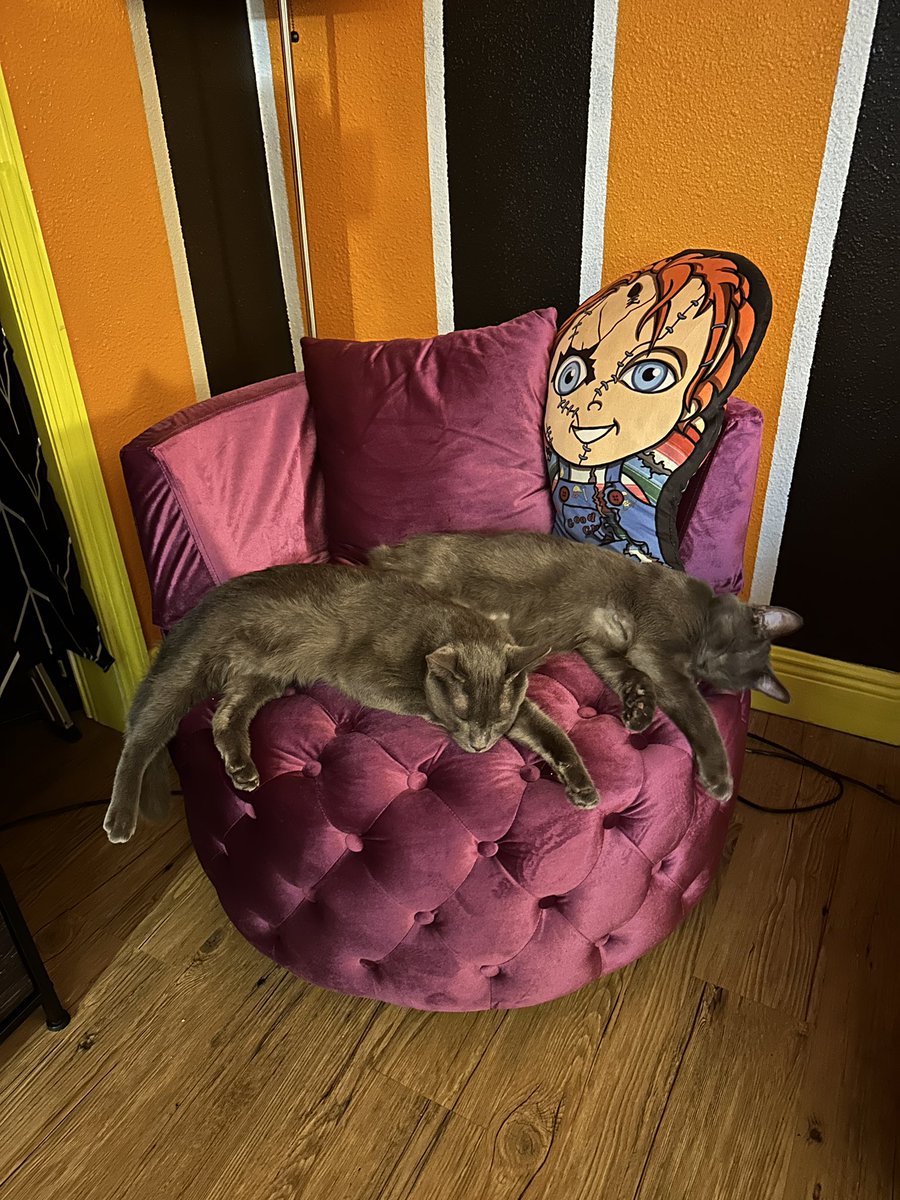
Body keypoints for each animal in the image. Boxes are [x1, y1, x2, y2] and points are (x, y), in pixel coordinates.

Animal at [103, 562, 600, 844]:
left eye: (496, 720)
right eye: (462, 715)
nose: (480, 745)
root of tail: (195, 608)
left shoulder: (520, 710)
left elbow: (553, 731)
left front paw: (582, 786)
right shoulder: (362, 673)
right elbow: (418, 698)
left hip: (264, 678)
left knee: (225, 715)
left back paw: (242, 770)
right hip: (188, 671)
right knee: (140, 737)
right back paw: (120, 819)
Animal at [369, 532, 803, 804]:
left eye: (723, 675)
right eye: (728, 649)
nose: (706, 662)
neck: (702, 614)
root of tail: (384, 553)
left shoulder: (600, 646)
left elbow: (631, 675)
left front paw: (639, 711)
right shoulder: (656, 652)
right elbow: (698, 711)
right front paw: (719, 778)